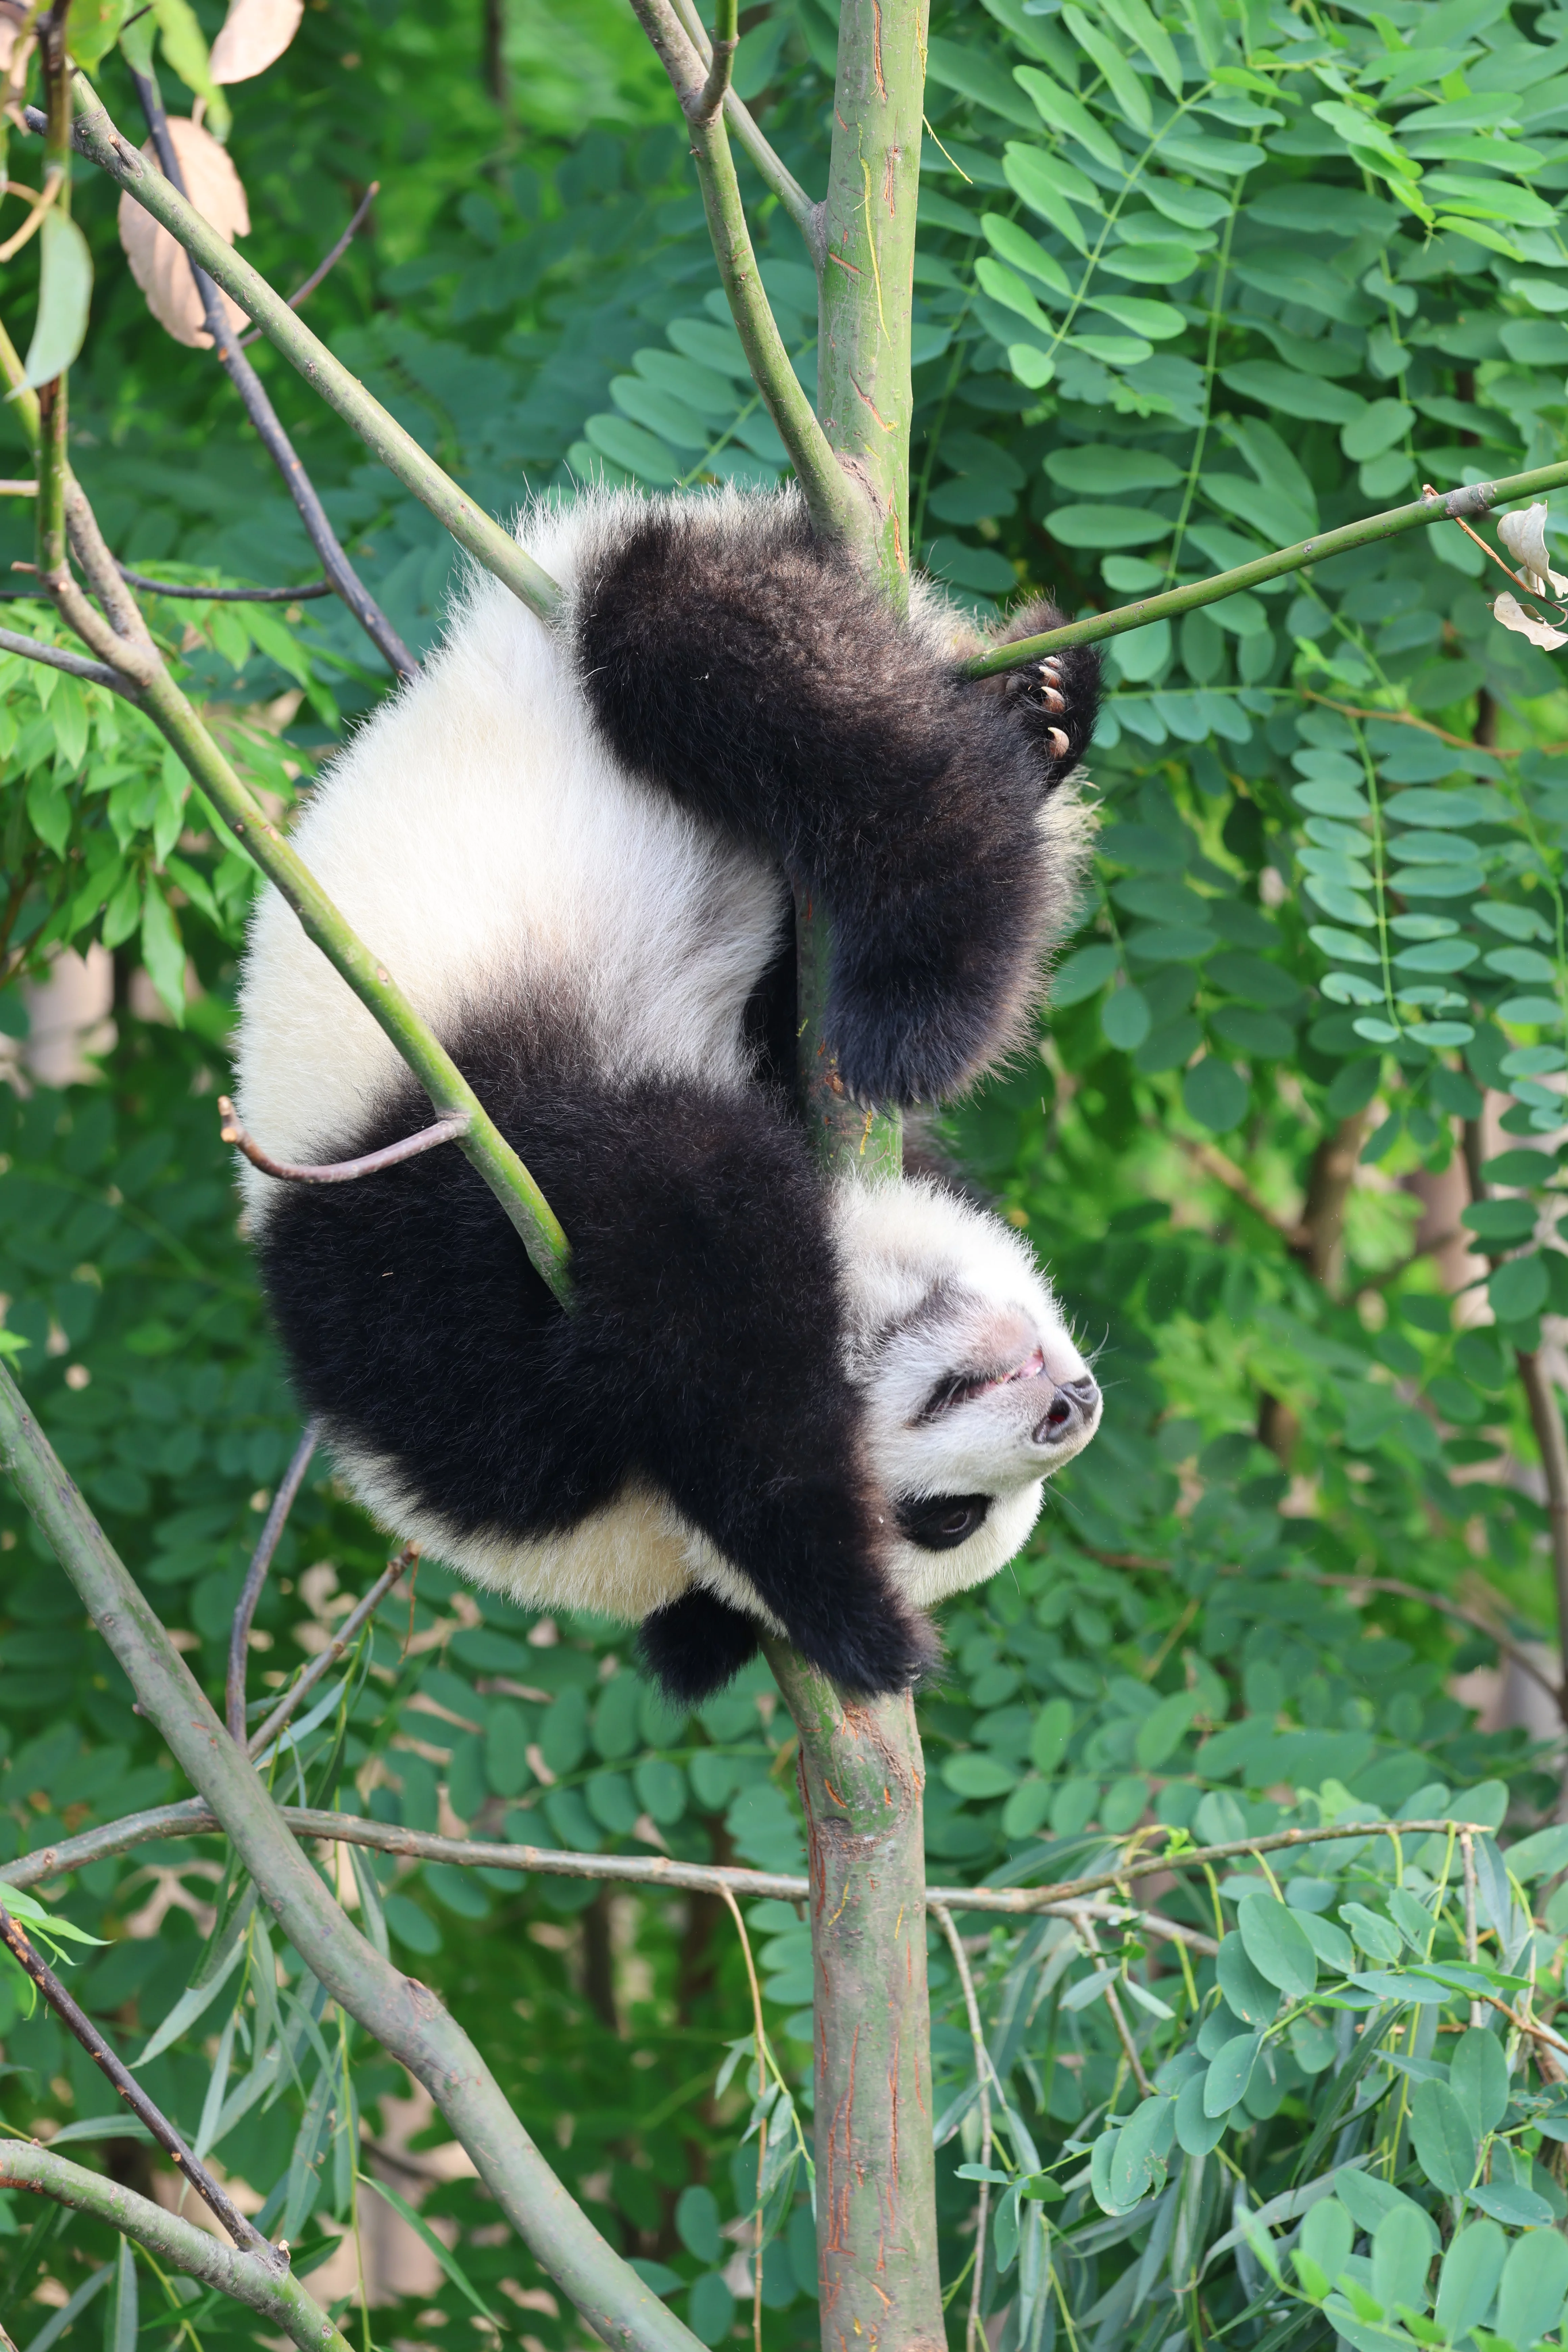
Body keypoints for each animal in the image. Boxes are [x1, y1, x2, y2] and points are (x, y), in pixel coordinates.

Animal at [233, 487, 1103, 1703]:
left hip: (615, 620)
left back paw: (958, 927)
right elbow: (703, 1234)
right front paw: (850, 1614)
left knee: (785, 698)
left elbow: (700, 1230)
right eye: (950, 1518)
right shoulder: (462, 1262)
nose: (1073, 1408)